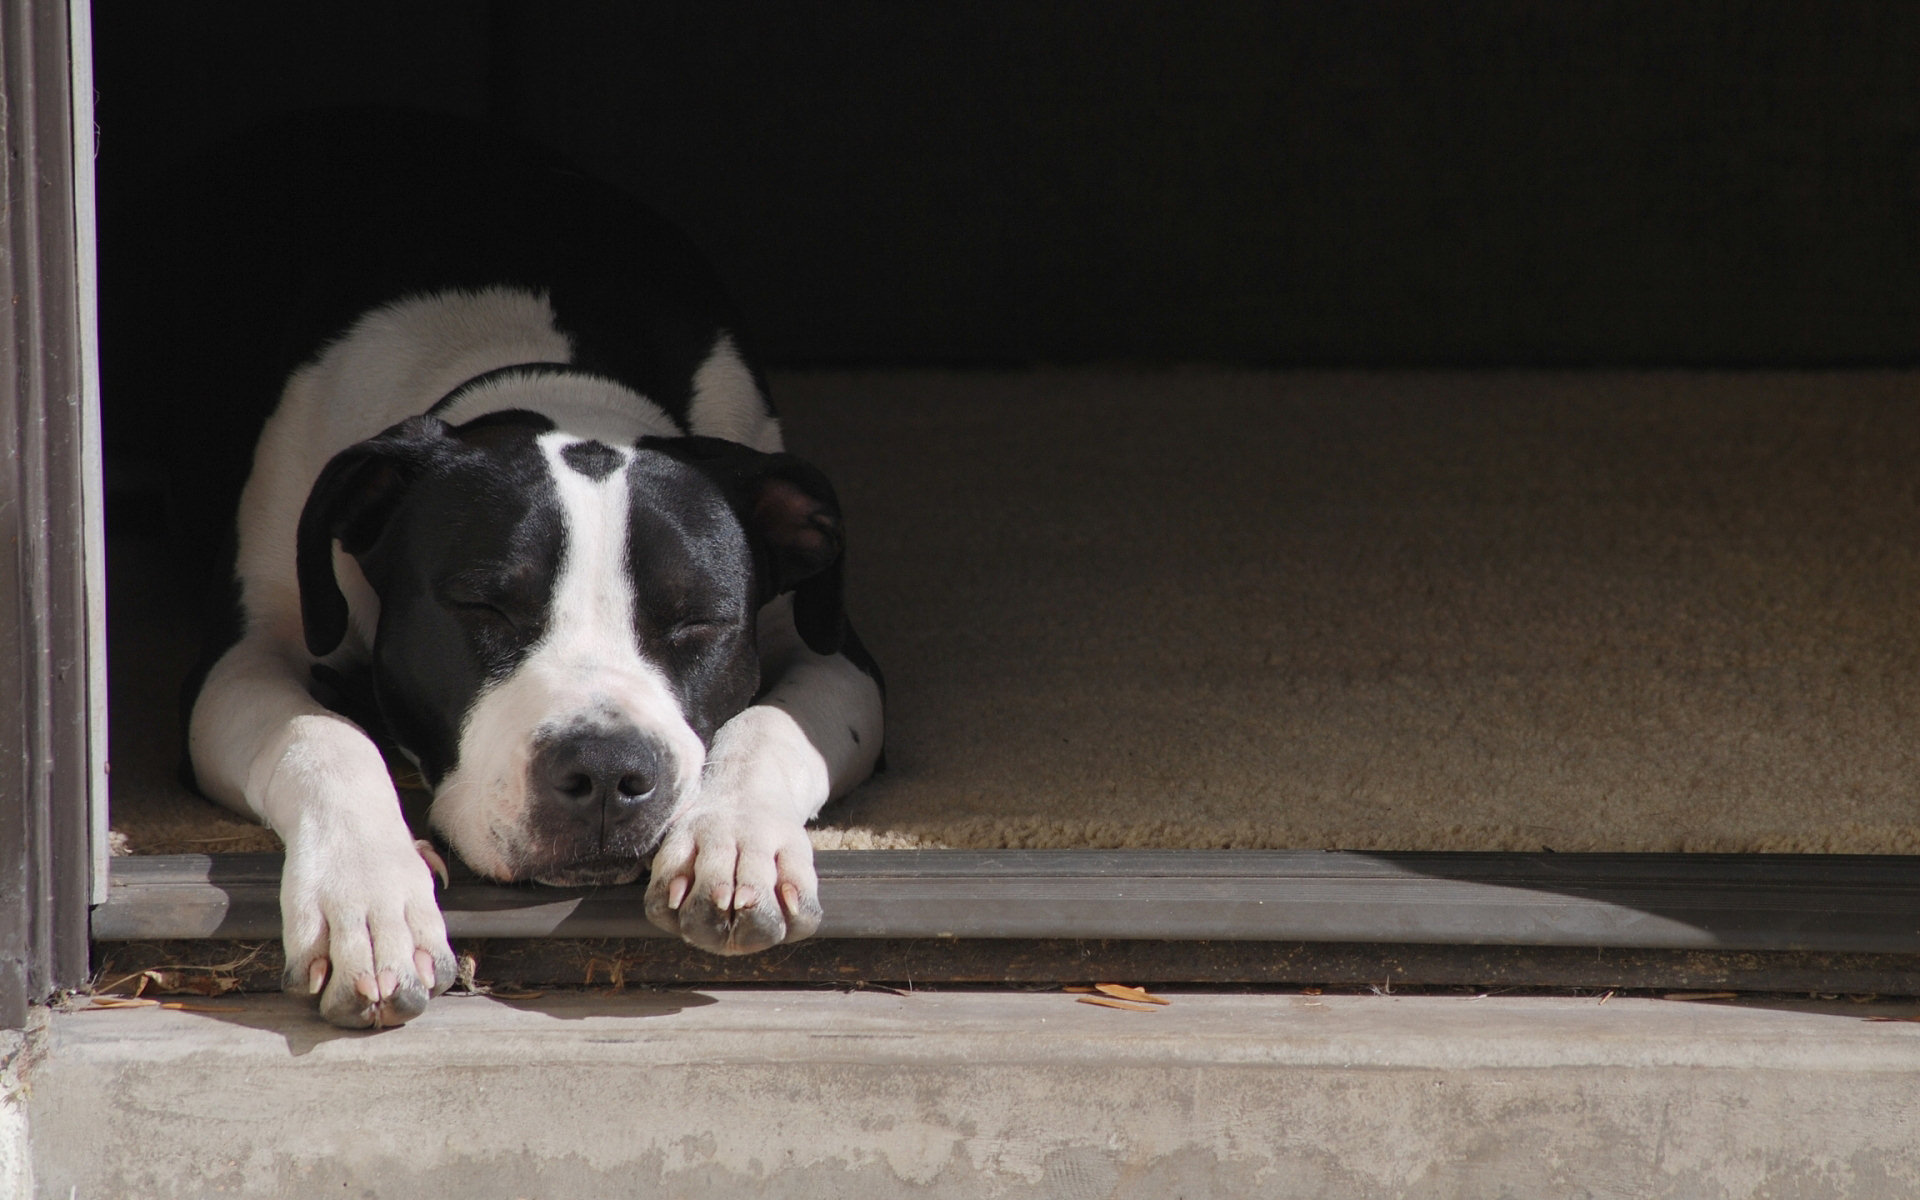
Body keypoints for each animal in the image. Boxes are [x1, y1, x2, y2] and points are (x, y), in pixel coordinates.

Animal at [123, 112, 887, 1021]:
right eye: (483, 608)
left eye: (700, 622)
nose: (607, 771)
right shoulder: (244, 655)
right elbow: (320, 735)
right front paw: (372, 900)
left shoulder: (837, 655)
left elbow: (773, 724)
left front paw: (736, 842)